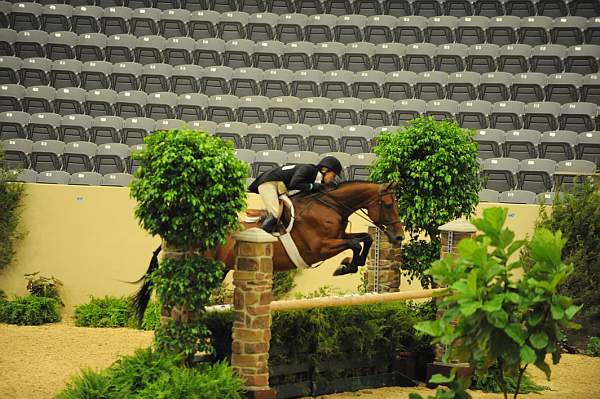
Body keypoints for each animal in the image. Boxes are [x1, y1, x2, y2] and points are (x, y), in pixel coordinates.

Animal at [131, 181, 404, 322]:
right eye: (388, 204)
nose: (399, 237)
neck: (331, 205)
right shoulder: (319, 248)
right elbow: (356, 243)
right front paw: (345, 266)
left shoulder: (337, 237)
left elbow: (365, 238)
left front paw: (348, 264)